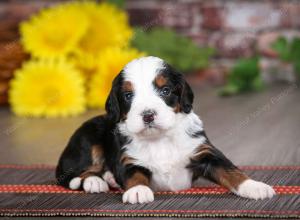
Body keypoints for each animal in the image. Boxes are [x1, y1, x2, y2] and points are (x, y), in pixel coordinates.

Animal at [55, 55, 276, 204]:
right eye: (128, 95)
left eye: (165, 90)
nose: (148, 115)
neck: (159, 139)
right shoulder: (128, 159)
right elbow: (134, 175)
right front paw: (138, 191)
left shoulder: (205, 153)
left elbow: (231, 171)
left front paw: (255, 186)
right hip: (87, 141)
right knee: (73, 173)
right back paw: (95, 182)